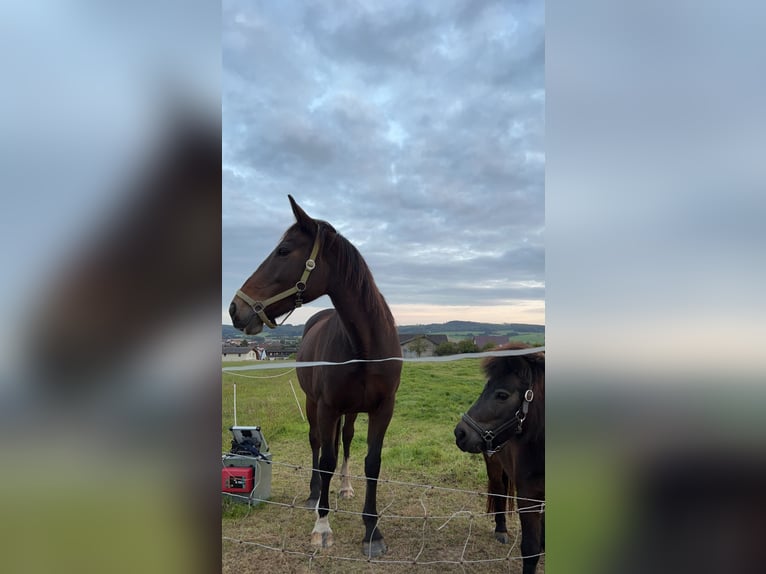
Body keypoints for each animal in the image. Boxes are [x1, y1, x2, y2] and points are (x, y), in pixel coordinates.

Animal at [229, 195, 402, 558]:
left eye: (283, 250)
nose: (235, 309)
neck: (364, 347)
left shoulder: (383, 409)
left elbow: (372, 462)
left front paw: (372, 531)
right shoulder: (326, 407)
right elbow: (325, 459)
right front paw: (322, 526)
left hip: (349, 412)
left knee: (345, 441)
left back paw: (344, 487)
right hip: (313, 404)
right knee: (317, 444)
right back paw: (314, 494)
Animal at [454, 343, 545, 574]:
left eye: (502, 395)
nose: (460, 433)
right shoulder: (527, 497)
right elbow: (530, 550)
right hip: (494, 467)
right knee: (499, 491)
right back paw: (501, 529)